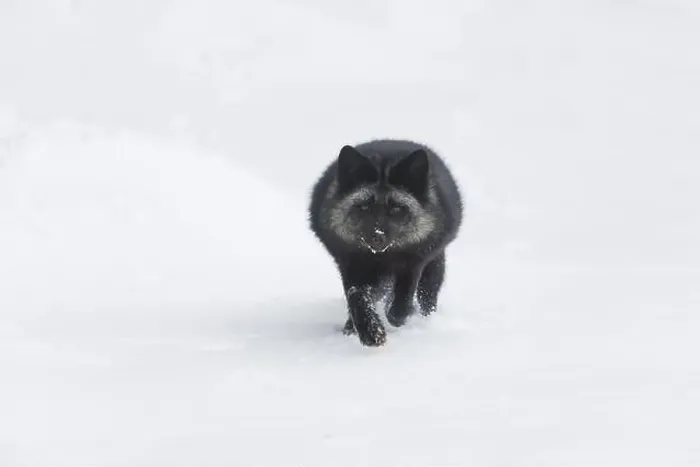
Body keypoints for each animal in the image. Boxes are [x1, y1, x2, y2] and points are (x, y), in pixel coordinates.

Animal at [308, 139, 463, 347]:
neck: (382, 258)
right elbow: (356, 296)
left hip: (434, 268)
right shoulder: (351, 265)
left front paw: (396, 315)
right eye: (364, 206)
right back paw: (350, 329)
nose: (378, 236)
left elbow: (403, 299)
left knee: (427, 297)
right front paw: (370, 331)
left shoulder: (414, 262)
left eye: (396, 208)